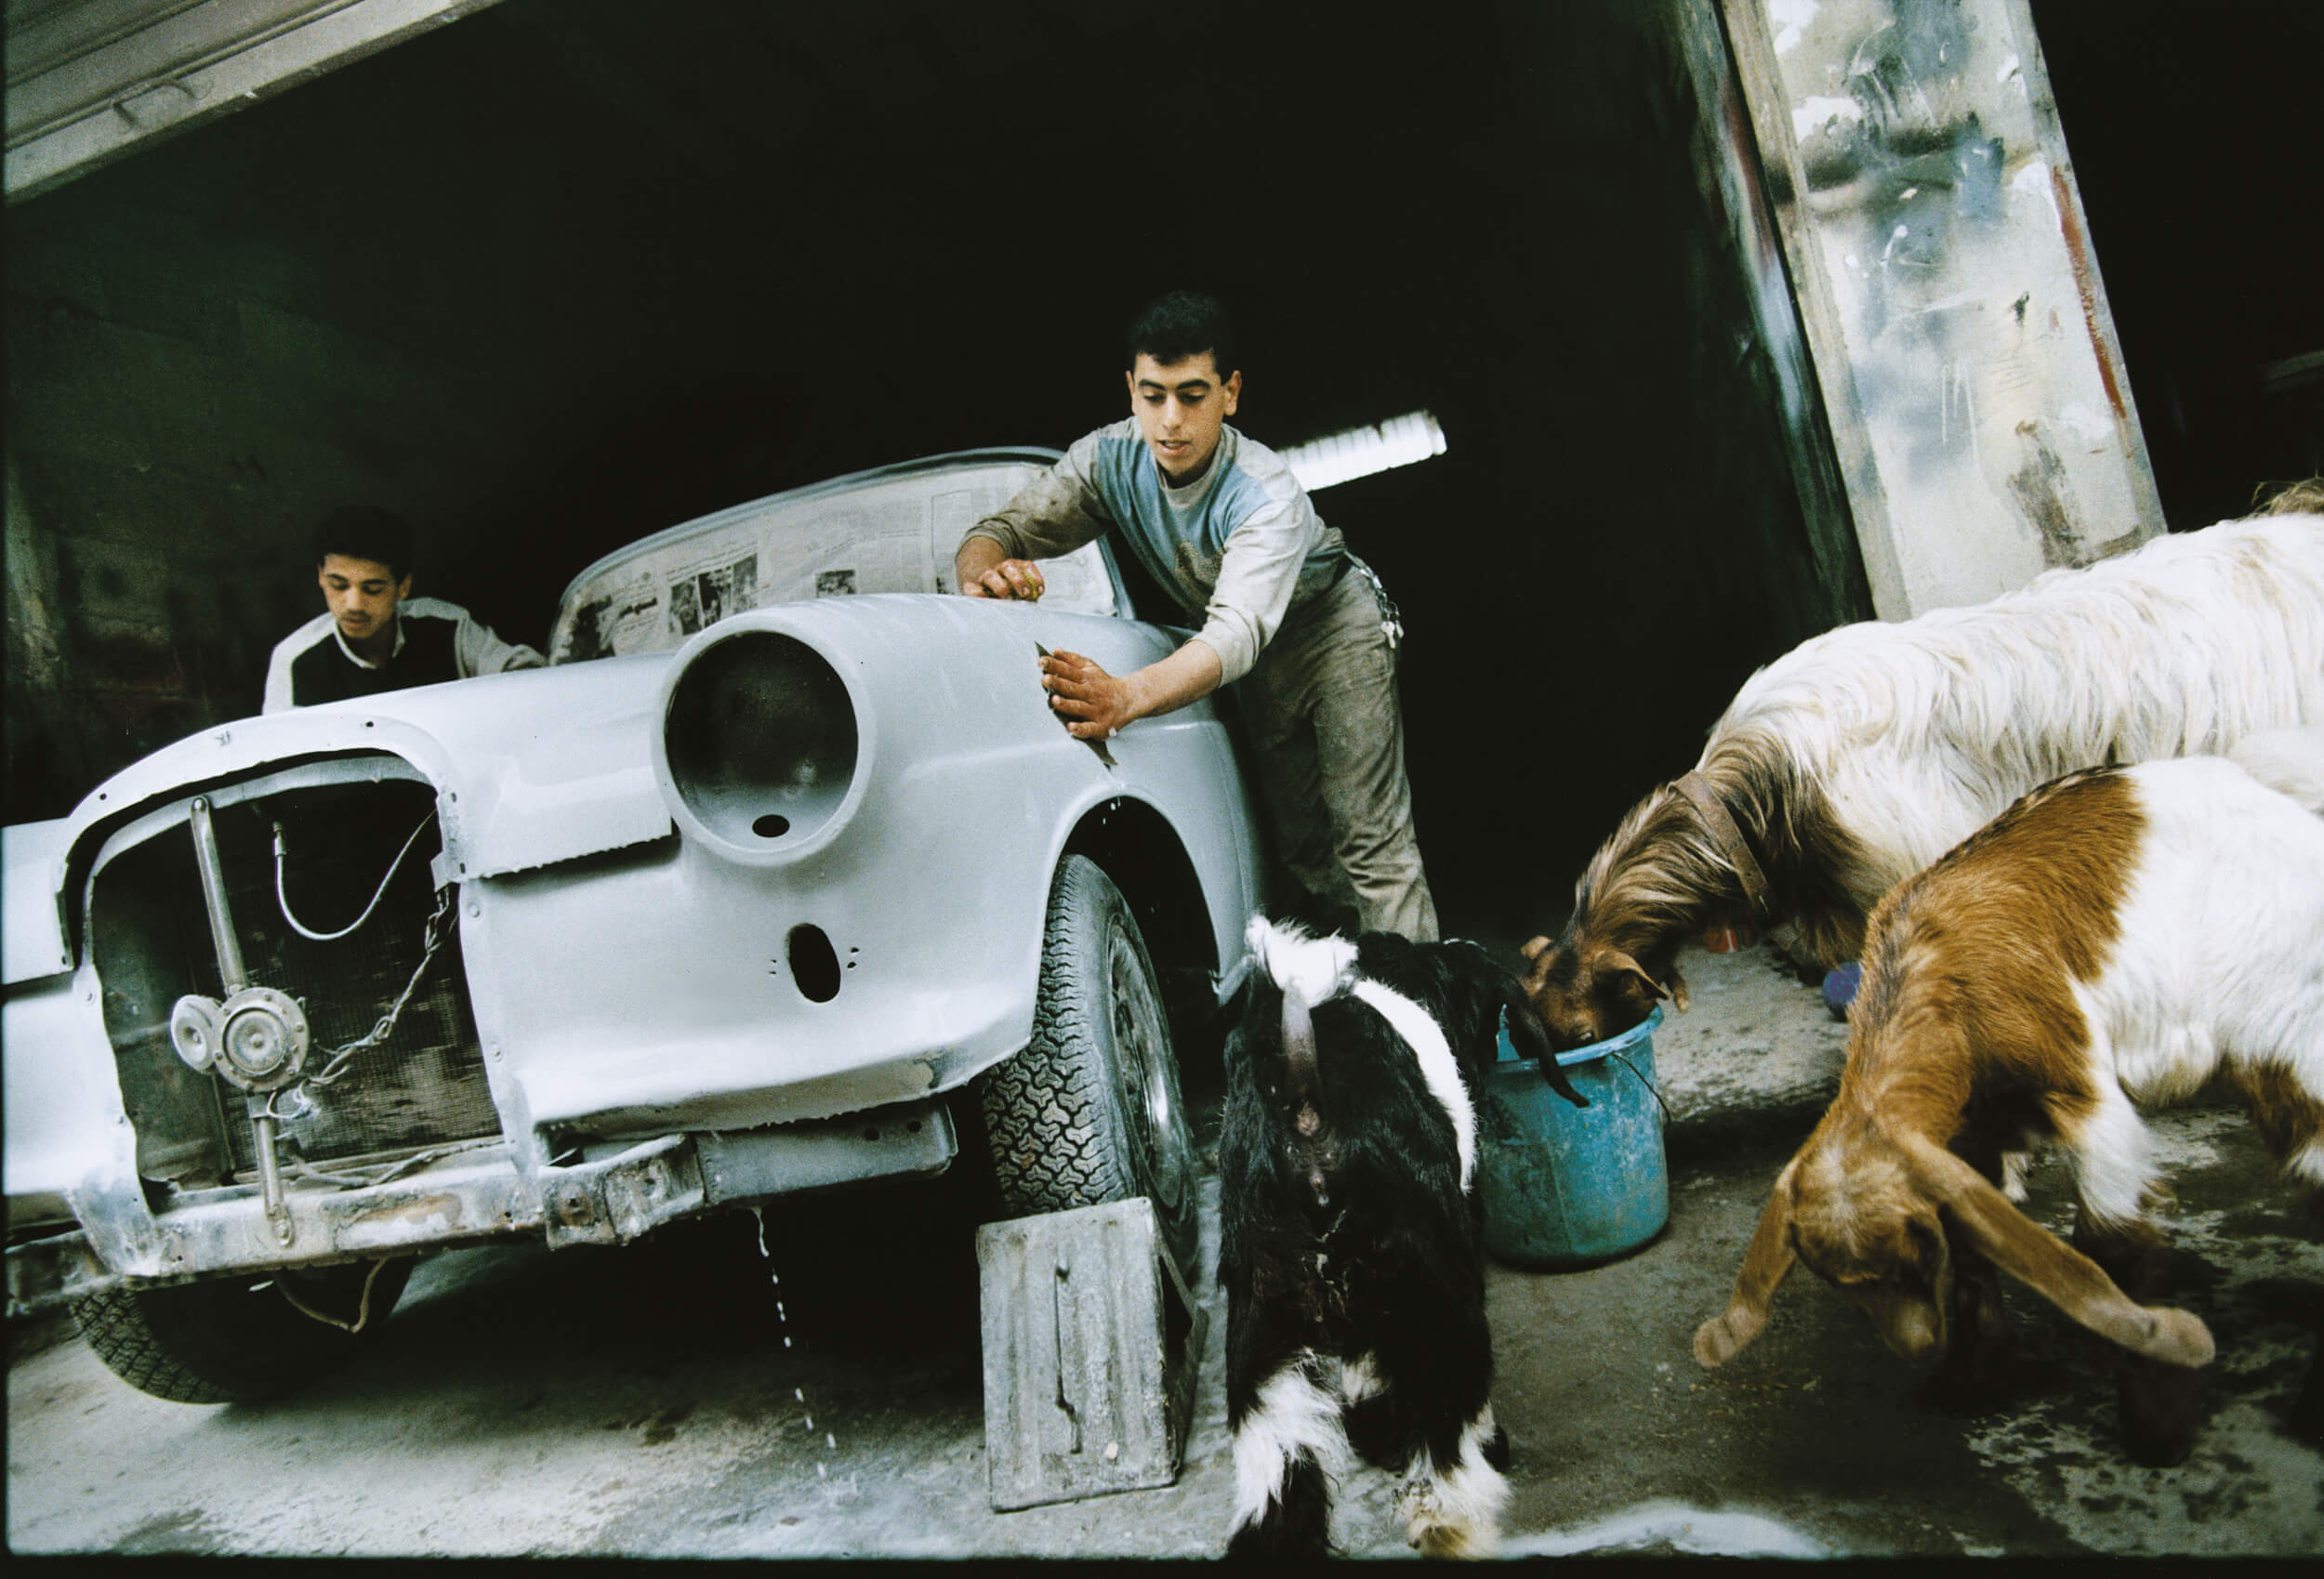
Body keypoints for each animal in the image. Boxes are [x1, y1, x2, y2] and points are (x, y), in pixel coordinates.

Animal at [1218, 915, 1580, 1551]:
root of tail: (1305, 1104)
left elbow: (1365, 1361)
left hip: (1263, 1325)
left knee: (1278, 1493)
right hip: (1433, 1281)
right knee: (1444, 1451)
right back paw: (1461, 1513)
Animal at [1692, 738, 2324, 1467]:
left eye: (1911, 1260)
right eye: (1843, 1284)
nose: (1917, 1346)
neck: (1931, 980)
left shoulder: (2081, 1088)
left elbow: (2113, 1243)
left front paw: (2156, 1424)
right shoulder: (1968, 1133)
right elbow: (1976, 1248)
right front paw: (1979, 1379)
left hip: (2284, 1030)